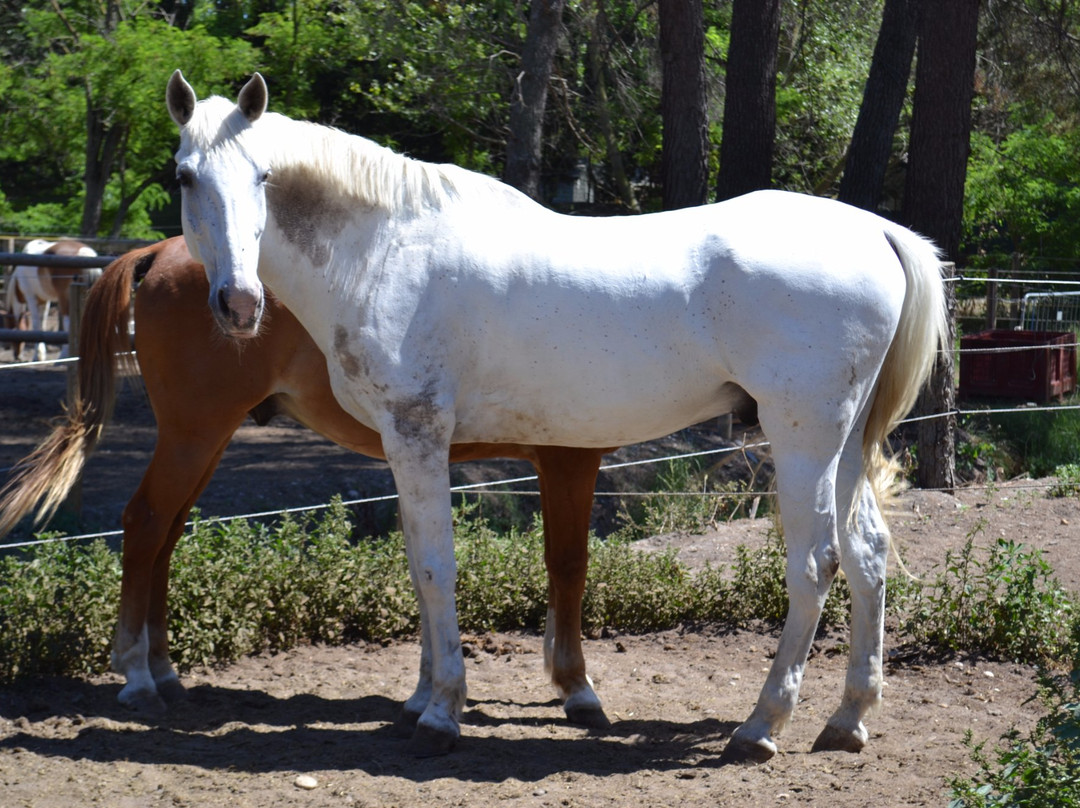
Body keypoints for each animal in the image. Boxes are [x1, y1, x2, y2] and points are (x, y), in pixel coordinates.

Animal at [0, 236, 609, 730]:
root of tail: (159, 253)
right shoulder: (568, 460)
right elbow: (568, 565)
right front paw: (575, 687)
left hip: (205, 441)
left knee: (165, 537)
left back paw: (163, 670)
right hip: (193, 434)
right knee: (145, 522)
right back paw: (138, 676)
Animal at [164, 70, 950, 764]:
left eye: (263, 178)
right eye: (185, 177)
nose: (238, 304)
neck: (387, 248)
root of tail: (874, 232)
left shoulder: (417, 433)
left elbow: (435, 568)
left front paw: (442, 714)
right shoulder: (405, 446)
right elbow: (420, 567)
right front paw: (423, 701)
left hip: (801, 437)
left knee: (815, 565)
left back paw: (760, 728)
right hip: (842, 444)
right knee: (867, 555)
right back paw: (847, 720)